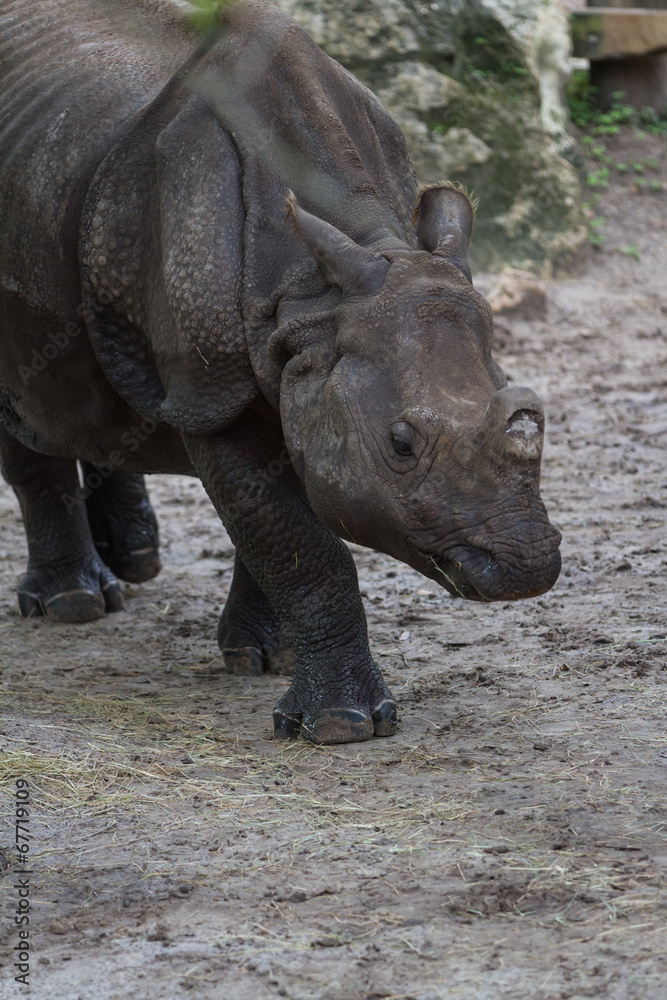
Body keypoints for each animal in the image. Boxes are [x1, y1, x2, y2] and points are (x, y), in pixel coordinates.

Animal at [0, 0, 561, 744]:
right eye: (401, 445)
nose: (524, 566)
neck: (308, 295)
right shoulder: (213, 393)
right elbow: (297, 542)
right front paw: (340, 726)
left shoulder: (300, 362)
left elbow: (274, 526)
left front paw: (264, 655)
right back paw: (72, 604)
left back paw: (135, 563)